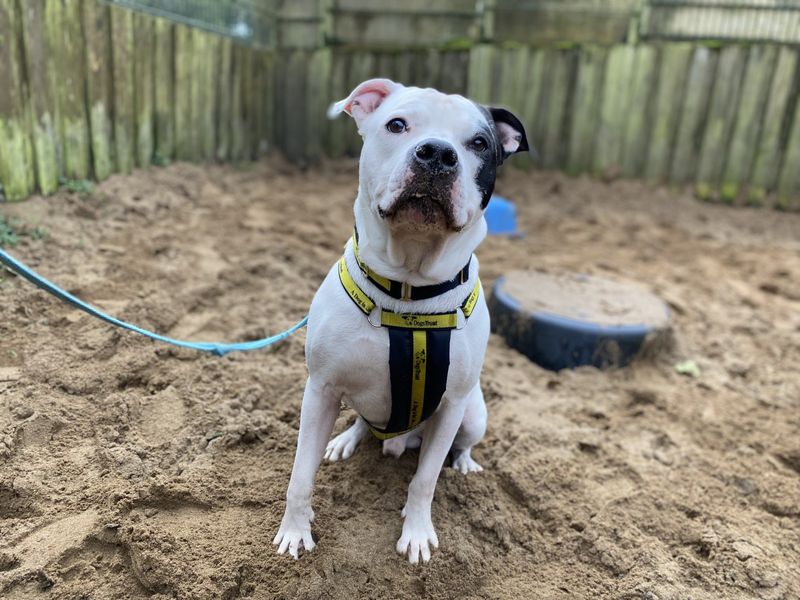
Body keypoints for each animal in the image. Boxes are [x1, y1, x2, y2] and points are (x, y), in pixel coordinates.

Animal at [276, 78, 532, 564]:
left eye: (479, 143)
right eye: (397, 125)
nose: (437, 154)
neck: (409, 291)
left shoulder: (451, 406)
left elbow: (425, 480)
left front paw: (416, 532)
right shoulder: (320, 389)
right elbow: (300, 474)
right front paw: (295, 530)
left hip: (474, 413)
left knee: (460, 445)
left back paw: (464, 463)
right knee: (363, 421)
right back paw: (346, 440)